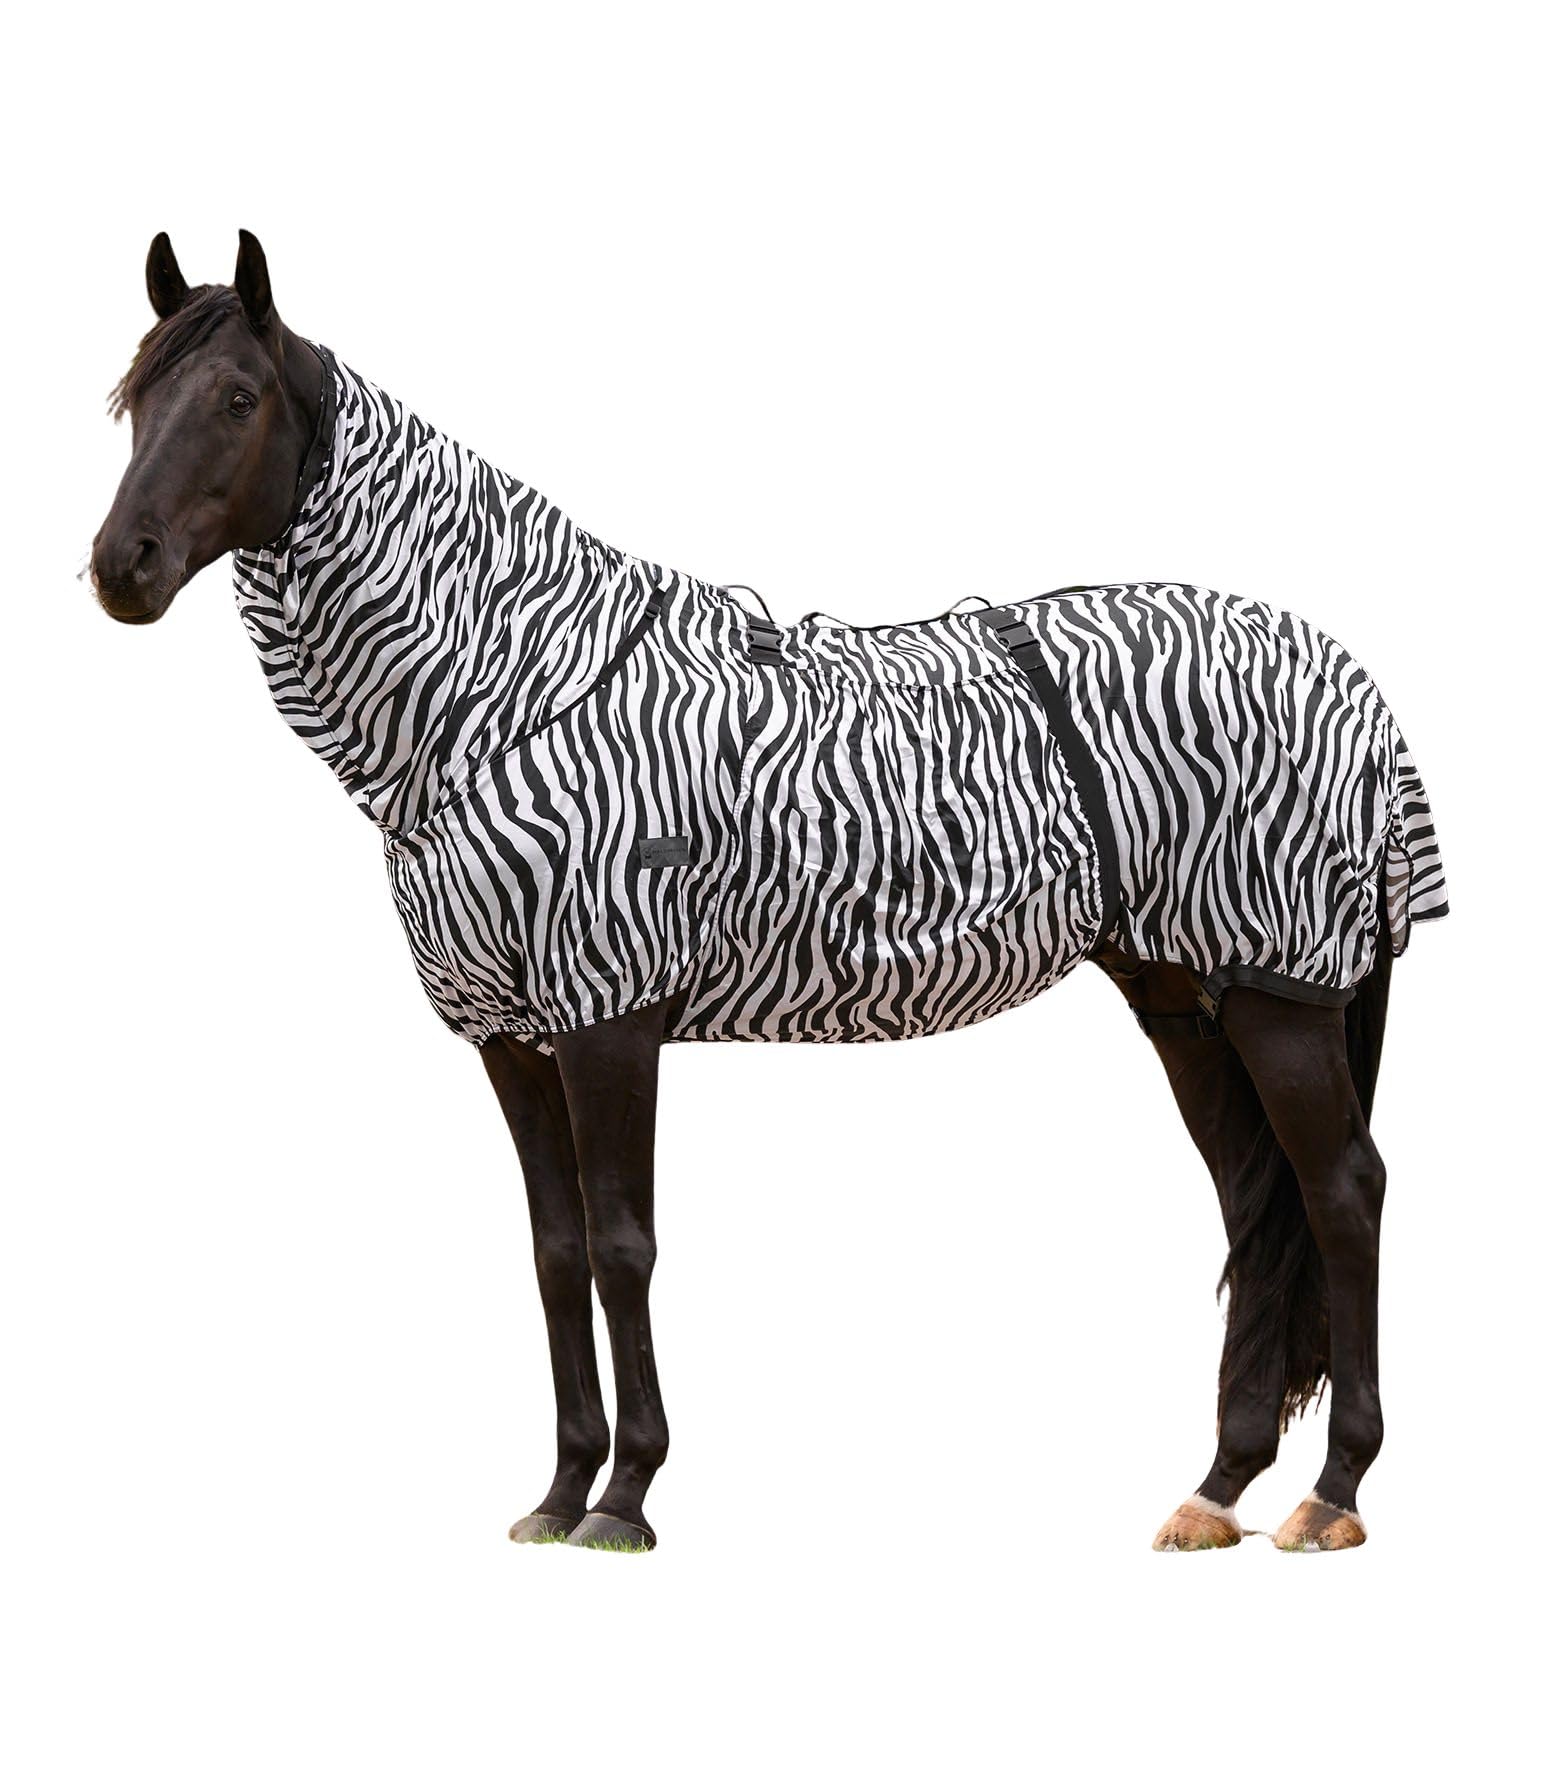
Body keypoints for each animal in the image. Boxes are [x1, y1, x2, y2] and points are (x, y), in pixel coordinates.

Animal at [92, 231, 1446, 1553]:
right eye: (132, 399)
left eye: (236, 397)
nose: (121, 566)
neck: (507, 693)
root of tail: (1350, 681)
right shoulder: (510, 1037)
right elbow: (555, 1251)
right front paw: (559, 1488)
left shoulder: (609, 1015)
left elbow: (623, 1245)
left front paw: (625, 1496)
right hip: (1185, 998)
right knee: (1255, 1205)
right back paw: (1215, 1489)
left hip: (1277, 993)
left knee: (1340, 1193)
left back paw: (1331, 1491)